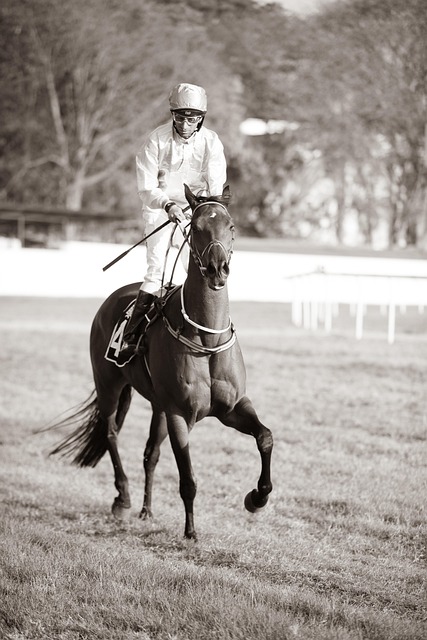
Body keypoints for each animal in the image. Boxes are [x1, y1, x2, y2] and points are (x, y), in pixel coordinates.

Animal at [50, 184, 273, 540]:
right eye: (196, 227)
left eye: (231, 226)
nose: (217, 269)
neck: (206, 340)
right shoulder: (179, 414)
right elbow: (188, 478)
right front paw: (190, 531)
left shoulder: (233, 407)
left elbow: (265, 437)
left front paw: (257, 498)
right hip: (109, 384)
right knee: (111, 433)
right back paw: (123, 499)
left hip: (157, 406)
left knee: (149, 453)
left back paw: (146, 509)